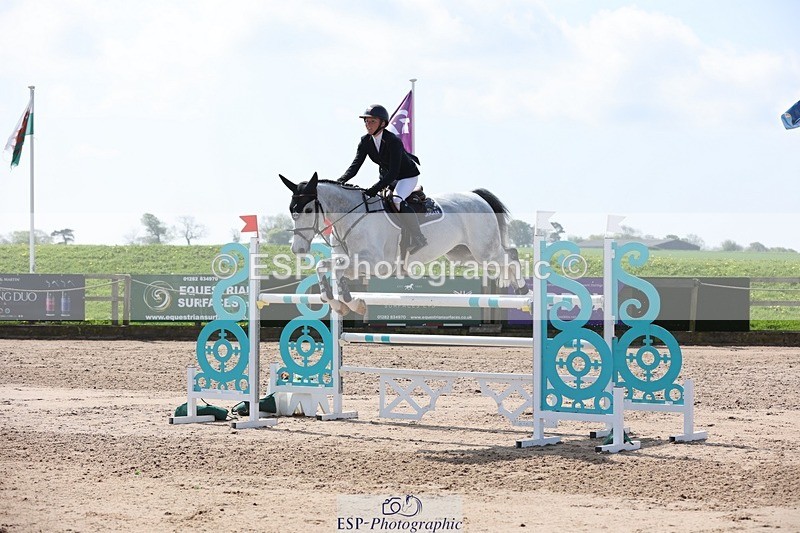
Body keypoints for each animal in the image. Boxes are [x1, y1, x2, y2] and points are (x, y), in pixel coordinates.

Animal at [279, 172, 530, 316]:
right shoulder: (350, 261)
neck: (351, 215)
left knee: (511, 255)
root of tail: (476, 196)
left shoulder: (374, 263)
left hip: (483, 250)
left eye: (308, 210)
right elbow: (326, 268)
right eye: (291, 210)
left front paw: (348, 302)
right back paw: (515, 290)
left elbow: (332, 270)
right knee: (505, 258)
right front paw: (341, 303)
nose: (297, 249)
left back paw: (523, 291)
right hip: (463, 254)